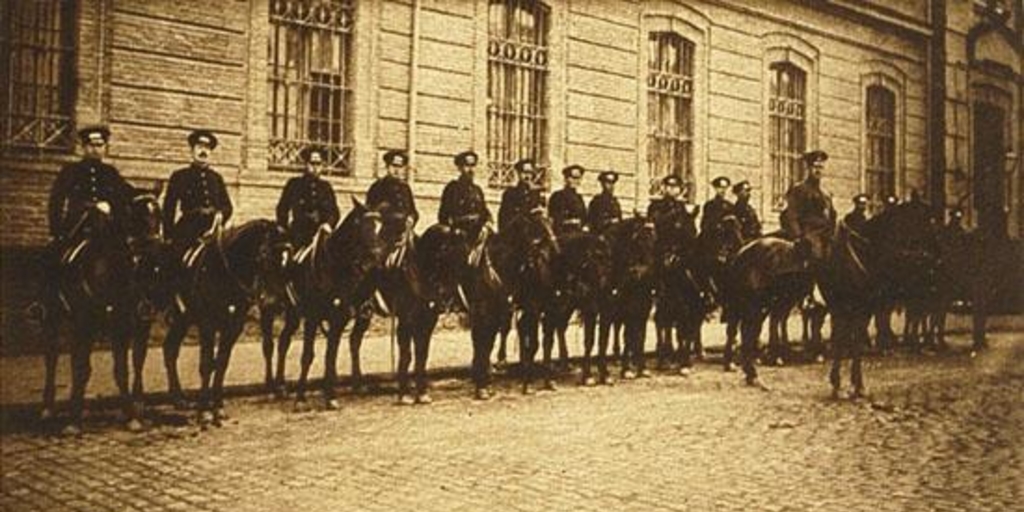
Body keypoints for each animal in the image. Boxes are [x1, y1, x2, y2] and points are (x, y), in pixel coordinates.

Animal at [161, 220, 292, 423]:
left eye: (286, 259)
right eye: (264, 255)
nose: (276, 304)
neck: (224, 272)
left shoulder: (234, 326)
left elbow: (222, 362)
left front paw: (218, 406)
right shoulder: (207, 323)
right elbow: (207, 364)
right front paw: (204, 411)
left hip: (184, 318)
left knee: (170, 348)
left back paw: (179, 398)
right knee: (170, 349)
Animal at [260, 201, 385, 409]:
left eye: (380, 227)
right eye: (363, 227)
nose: (376, 261)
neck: (333, 267)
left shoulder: (338, 319)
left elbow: (330, 356)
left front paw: (330, 396)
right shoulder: (312, 318)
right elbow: (307, 356)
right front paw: (301, 398)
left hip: (293, 315)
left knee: (284, 341)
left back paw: (281, 386)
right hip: (268, 310)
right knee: (268, 345)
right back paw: (270, 388)